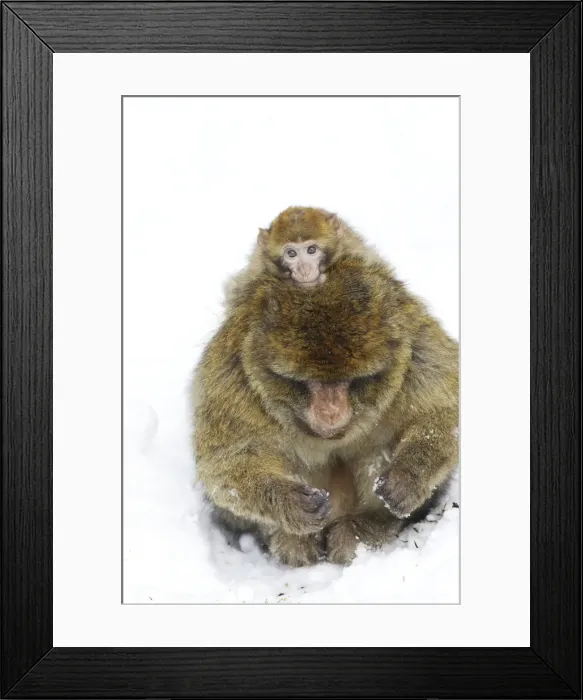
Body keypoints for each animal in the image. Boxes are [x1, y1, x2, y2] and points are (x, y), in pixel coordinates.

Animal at [193, 253, 459, 568]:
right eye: (308, 383)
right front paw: (289, 502)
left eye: (348, 381)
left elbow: (443, 411)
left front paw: (407, 475)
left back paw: (366, 528)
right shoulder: (234, 379)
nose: (331, 411)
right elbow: (226, 463)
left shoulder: (417, 351)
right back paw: (293, 541)